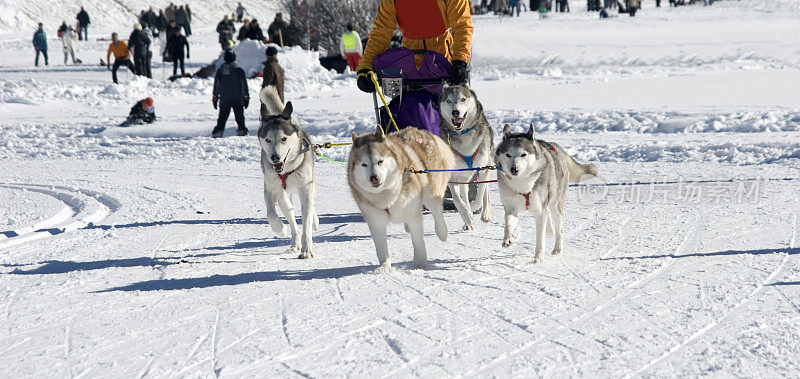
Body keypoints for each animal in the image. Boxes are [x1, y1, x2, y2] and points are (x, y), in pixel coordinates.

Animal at [258, 85, 318, 258]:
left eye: (283, 139)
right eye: (268, 140)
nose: (275, 157)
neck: (288, 170)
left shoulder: (305, 188)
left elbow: (306, 223)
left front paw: (307, 250)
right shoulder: (271, 189)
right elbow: (271, 214)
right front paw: (280, 229)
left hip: (309, 186)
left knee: (311, 207)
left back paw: (314, 221)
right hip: (284, 197)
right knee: (292, 219)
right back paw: (294, 243)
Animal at [346, 126, 454, 268]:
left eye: (380, 161)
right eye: (364, 164)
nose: (374, 178)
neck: (386, 195)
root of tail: (421, 130)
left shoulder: (414, 216)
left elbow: (418, 241)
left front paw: (419, 263)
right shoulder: (375, 221)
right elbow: (381, 249)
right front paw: (384, 268)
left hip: (431, 192)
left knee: (437, 212)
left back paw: (442, 232)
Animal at [438, 84, 494, 230]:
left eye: (463, 99)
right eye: (448, 100)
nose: (455, 112)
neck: (462, 134)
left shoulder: (483, 168)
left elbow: (480, 195)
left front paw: (473, 208)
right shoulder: (451, 174)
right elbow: (458, 199)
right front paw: (466, 215)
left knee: (485, 192)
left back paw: (485, 214)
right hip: (463, 175)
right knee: (464, 191)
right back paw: (467, 219)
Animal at [494, 124, 600, 264]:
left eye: (523, 154)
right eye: (508, 154)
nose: (514, 169)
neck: (522, 184)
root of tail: (556, 147)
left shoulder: (540, 211)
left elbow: (540, 237)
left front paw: (538, 256)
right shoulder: (511, 208)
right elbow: (508, 223)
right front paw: (508, 238)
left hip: (556, 205)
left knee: (559, 228)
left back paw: (557, 249)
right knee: (548, 215)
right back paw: (550, 230)